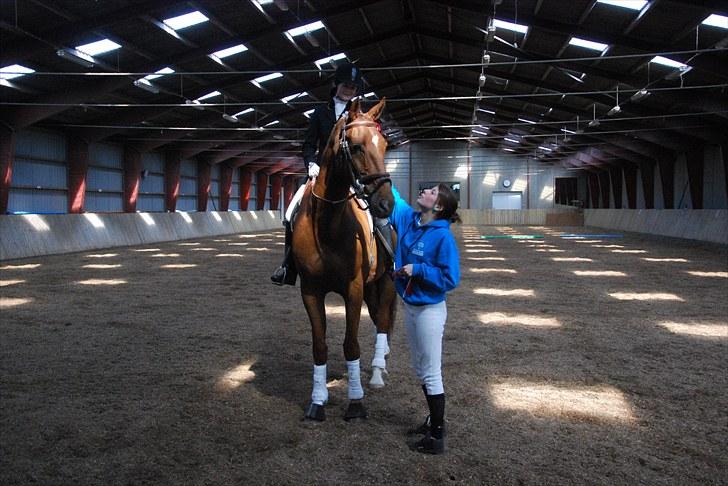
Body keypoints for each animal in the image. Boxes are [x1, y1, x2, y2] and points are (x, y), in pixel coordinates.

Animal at [290, 98, 396, 422]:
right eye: (358, 146)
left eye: (385, 145)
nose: (385, 204)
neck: (328, 226)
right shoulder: (311, 291)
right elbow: (319, 346)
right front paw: (317, 402)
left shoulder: (353, 289)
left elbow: (351, 345)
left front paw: (355, 403)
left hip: (385, 282)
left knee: (382, 322)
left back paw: (376, 373)